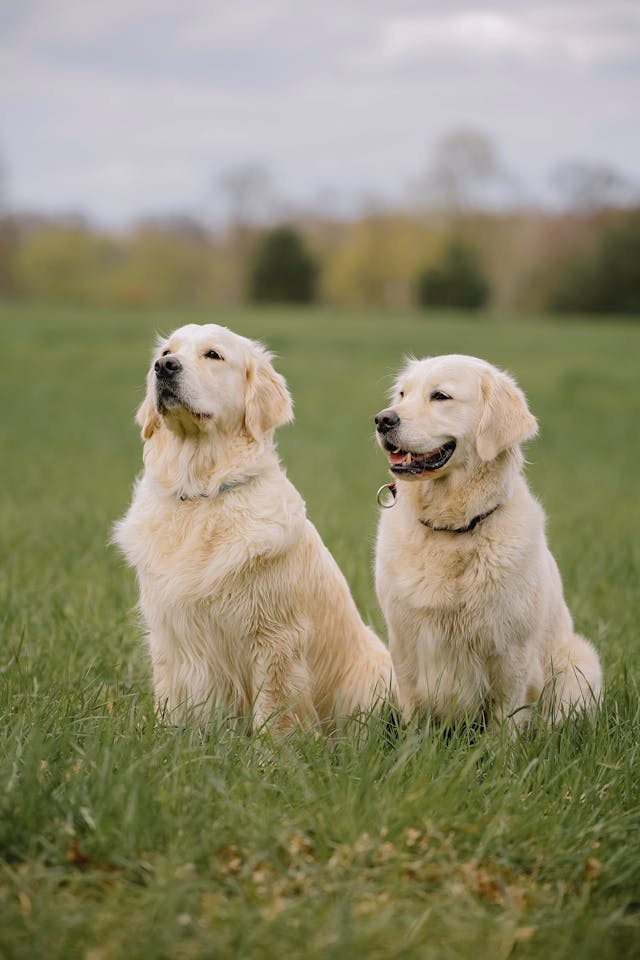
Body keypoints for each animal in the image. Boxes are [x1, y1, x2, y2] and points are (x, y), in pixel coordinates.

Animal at [115, 320, 396, 728]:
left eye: (213, 355)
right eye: (167, 351)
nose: (164, 367)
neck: (203, 493)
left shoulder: (275, 639)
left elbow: (275, 712)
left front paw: (271, 747)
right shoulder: (169, 635)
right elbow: (170, 701)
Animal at [372, 354, 604, 728]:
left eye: (440, 396)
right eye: (403, 394)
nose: (383, 420)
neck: (451, 529)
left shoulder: (511, 652)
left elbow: (503, 722)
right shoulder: (404, 642)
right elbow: (414, 715)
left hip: (579, 661)